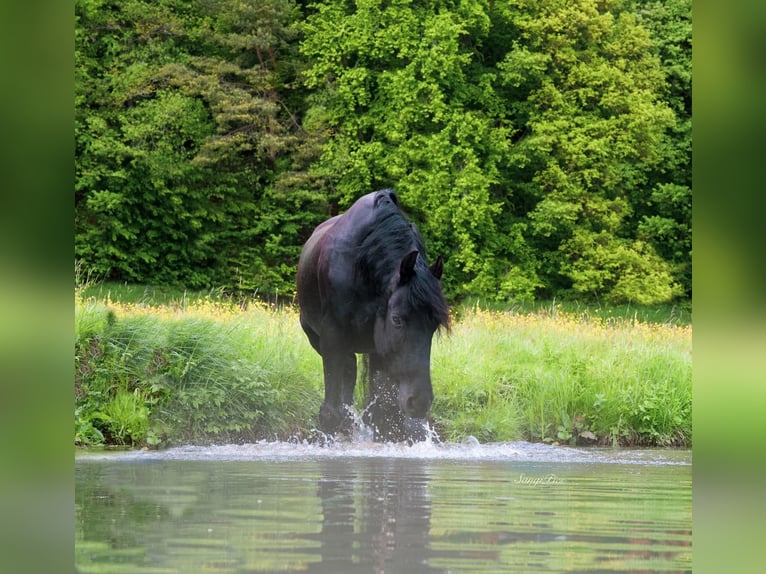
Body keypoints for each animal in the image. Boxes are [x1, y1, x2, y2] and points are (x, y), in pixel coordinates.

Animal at [296, 191, 450, 444]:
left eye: (435, 325)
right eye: (396, 319)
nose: (419, 402)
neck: (362, 264)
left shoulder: (380, 349)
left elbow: (383, 416)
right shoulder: (331, 338)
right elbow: (329, 412)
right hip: (319, 339)